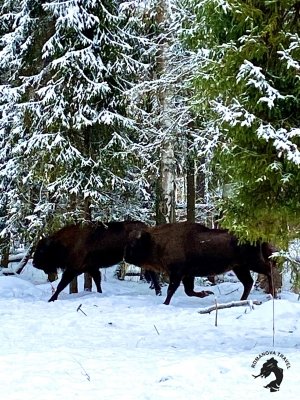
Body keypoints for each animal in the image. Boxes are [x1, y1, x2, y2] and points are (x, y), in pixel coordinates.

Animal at [32, 220, 162, 302]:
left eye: (42, 250)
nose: (34, 263)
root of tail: (148, 229)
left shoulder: (72, 269)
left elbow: (61, 285)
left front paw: (51, 299)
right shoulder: (92, 268)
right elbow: (97, 281)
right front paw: (100, 293)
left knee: (153, 274)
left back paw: (158, 292)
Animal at [124, 223, 274, 304]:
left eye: (134, 244)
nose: (126, 258)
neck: (156, 241)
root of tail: (259, 236)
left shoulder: (177, 273)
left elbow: (171, 289)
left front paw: (165, 303)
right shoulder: (187, 275)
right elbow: (188, 291)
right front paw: (206, 293)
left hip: (252, 263)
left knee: (268, 271)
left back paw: (273, 294)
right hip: (240, 268)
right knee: (248, 282)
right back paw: (241, 300)